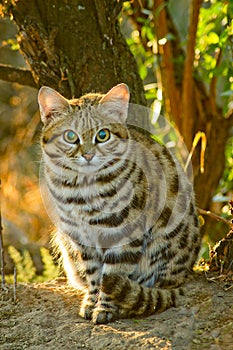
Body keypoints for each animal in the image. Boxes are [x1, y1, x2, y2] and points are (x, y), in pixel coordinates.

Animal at [38, 83, 200, 324]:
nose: (88, 155)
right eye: (70, 136)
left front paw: (105, 308)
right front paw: (91, 302)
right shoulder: (81, 236)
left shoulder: (124, 232)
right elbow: (93, 273)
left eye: (103, 135)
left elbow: (113, 272)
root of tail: (185, 273)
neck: (82, 190)